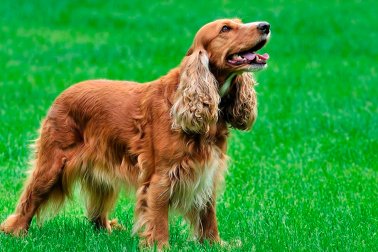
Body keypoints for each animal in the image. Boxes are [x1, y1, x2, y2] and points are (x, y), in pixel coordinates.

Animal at [1, 18, 270, 247]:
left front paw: (215, 244)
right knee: (29, 200)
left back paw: (108, 229)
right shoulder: (162, 176)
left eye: (239, 22)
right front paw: (160, 246)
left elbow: (208, 213)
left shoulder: (207, 170)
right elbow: (159, 217)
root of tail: (63, 93)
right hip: (53, 163)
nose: (265, 25)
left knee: (96, 214)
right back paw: (16, 232)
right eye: (225, 29)